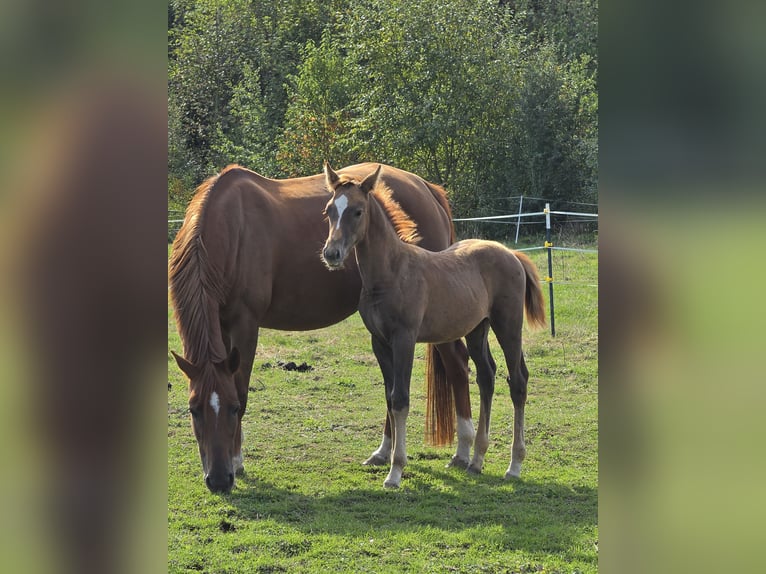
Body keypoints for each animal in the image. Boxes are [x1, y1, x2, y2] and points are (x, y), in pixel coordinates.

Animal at [169, 163, 476, 493]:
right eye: (193, 409)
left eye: (233, 408)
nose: (218, 480)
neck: (232, 229)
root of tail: (427, 189)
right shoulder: (223, 325)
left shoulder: (245, 325)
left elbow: (242, 388)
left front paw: (238, 462)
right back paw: (384, 452)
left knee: (458, 365)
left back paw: (462, 453)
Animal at [321, 163, 546, 488]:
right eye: (329, 210)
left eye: (358, 211)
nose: (332, 254)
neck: (391, 272)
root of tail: (512, 254)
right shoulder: (379, 342)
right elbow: (389, 397)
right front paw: (387, 458)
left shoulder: (404, 338)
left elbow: (400, 399)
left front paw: (395, 471)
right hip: (477, 328)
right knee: (486, 376)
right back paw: (476, 460)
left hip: (508, 325)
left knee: (517, 381)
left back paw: (514, 465)